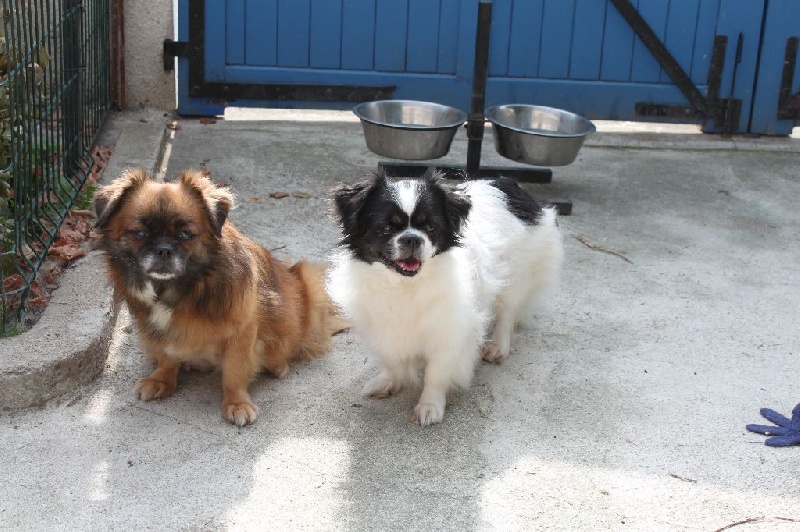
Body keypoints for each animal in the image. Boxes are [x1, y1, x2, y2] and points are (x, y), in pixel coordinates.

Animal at [94, 167, 347, 426]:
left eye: (185, 235)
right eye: (141, 233)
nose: (164, 249)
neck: (182, 289)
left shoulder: (242, 331)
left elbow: (233, 374)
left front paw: (237, 403)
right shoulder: (157, 330)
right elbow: (166, 356)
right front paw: (162, 380)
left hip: (308, 285)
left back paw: (277, 365)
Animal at [328, 169, 563, 426]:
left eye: (431, 227)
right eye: (386, 228)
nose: (412, 238)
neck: (405, 285)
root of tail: (511, 184)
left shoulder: (449, 333)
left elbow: (436, 373)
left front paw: (429, 406)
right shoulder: (384, 329)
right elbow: (392, 359)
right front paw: (389, 381)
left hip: (517, 277)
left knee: (508, 313)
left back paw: (497, 346)